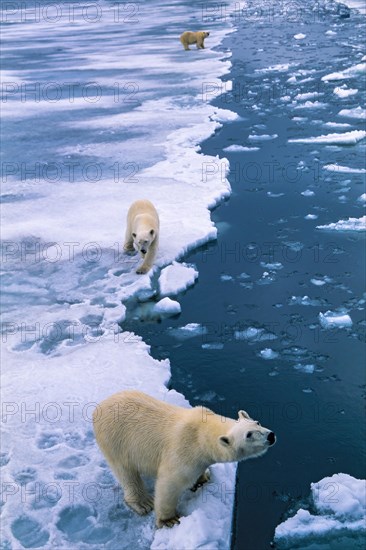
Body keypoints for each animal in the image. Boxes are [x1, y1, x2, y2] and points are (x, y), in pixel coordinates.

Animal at [93, 392, 276, 532]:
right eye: (248, 435)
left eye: (257, 422)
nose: (271, 435)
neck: (201, 432)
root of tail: (98, 407)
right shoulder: (183, 450)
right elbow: (169, 484)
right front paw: (169, 520)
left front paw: (203, 478)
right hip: (115, 439)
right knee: (125, 471)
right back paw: (143, 502)